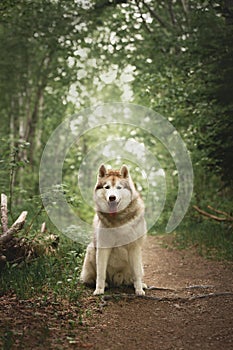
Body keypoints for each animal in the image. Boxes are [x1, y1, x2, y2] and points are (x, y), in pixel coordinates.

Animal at [79, 164, 146, 296]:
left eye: (119, 187)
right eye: (107, 187)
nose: (112, 197)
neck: (118, 218)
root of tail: (117, 280)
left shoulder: (134, 247)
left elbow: (136, 274)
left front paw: (139, 290)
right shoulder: (103, 247)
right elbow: (100, 273)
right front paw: (99, 289)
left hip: (139, 265)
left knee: (134, 275)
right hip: (91, 250)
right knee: (92, 278)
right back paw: (104, 284)